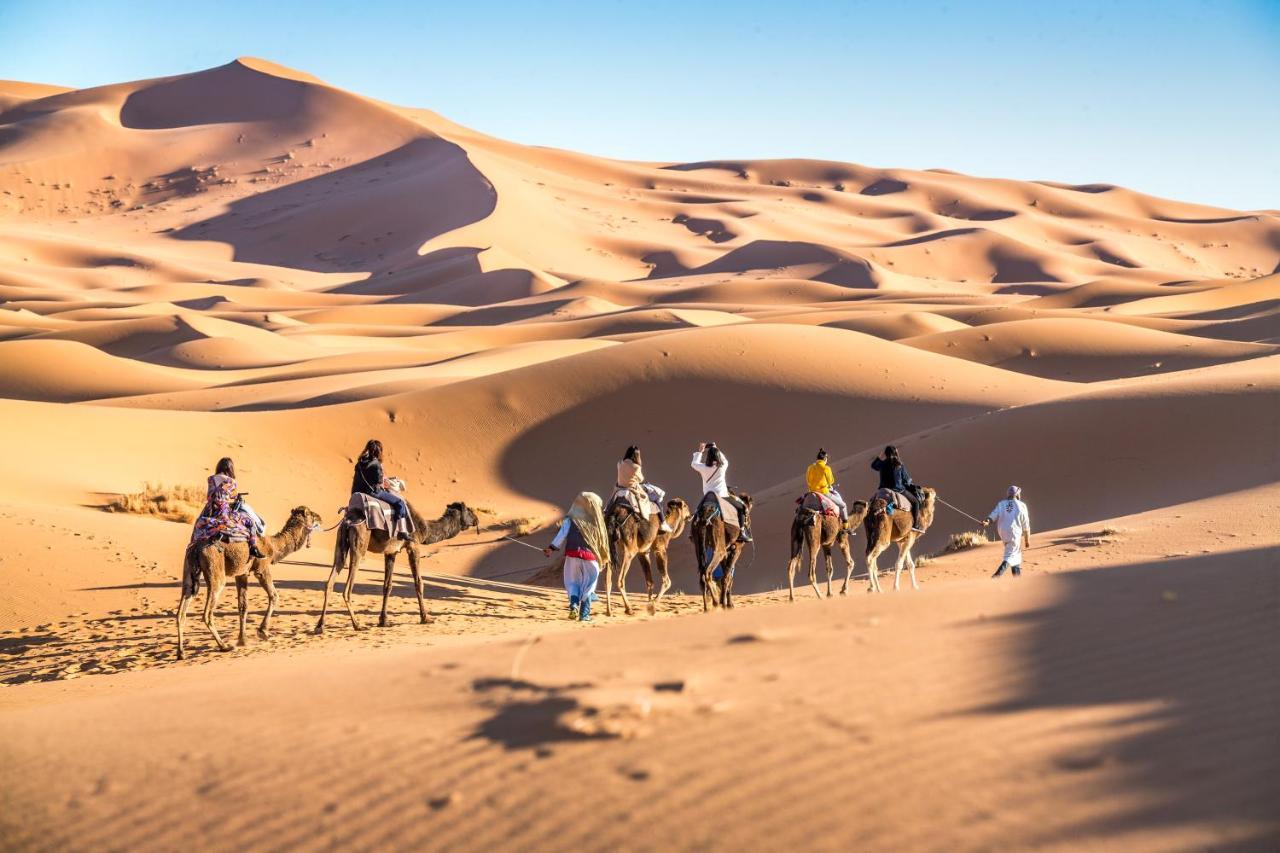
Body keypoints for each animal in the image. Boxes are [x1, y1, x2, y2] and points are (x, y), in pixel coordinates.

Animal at [175, 504, 322, 655]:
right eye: (311, 515)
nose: (320, 518)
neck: (273, 546)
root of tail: (196, 548)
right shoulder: (262, 569)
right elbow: (274, 596)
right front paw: (263, 632)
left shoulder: (242, 574)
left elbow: (243, 606)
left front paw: (243, 640)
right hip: (215, 569)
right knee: (207, 612)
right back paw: (224, 646)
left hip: (188, 570)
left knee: (183, 607)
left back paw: (181, 653)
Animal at [314, 499, 481, 630]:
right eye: (469, 510)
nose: (477, 520)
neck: (425, 529)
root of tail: (348, 521)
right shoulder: (413, 545)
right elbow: (419, 582)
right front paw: (426, 618)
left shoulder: (391, 552)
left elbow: (387, 586)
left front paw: (383, 620)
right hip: (359, 544)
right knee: (347, 589)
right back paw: (357, 625)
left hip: (341, 543)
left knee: (330, 581)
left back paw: (320, 625)